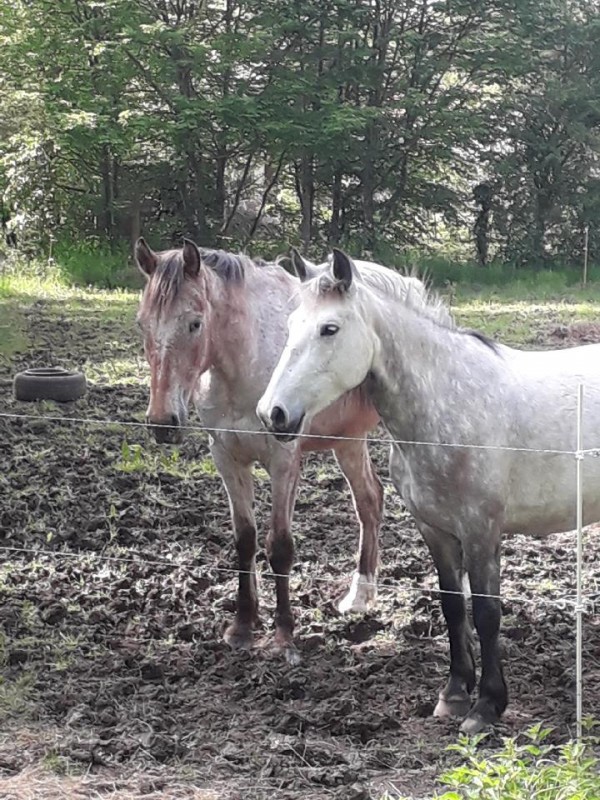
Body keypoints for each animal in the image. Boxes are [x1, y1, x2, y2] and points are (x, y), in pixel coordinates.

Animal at [137, 238, 426, 664]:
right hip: (348, 440)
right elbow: (245, 539)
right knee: (370, 500)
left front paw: (284, 635)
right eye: (142, 323)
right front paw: (242, 627)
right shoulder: (227, 459)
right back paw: (360, 595)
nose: (162, 422)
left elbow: (280, 548)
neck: (244, 362)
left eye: (195, 323)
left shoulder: (284, 462)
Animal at [258, 248, 600, 732]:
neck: (450, 403)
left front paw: (486, 706)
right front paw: (454, 694)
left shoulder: (481, 531)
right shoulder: (434, 530)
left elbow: (487, 613)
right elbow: (453, 607)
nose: (273, 413)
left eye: (330, 328)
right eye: (290, 326)